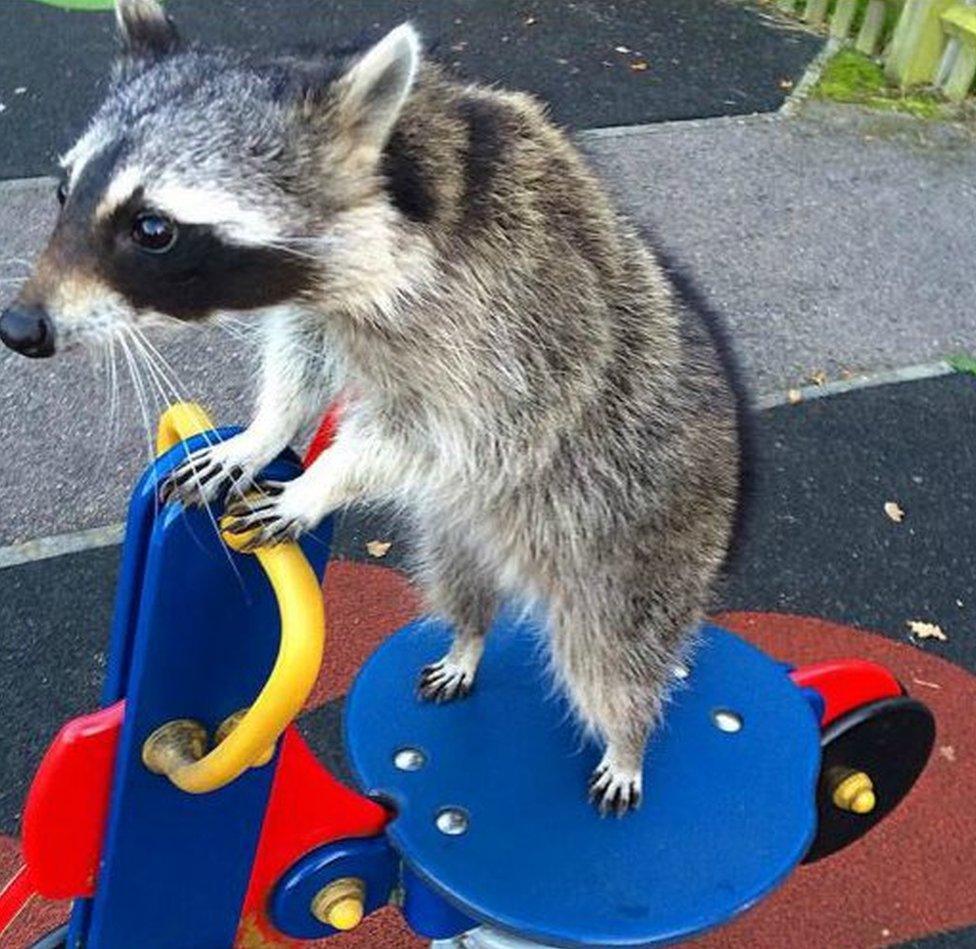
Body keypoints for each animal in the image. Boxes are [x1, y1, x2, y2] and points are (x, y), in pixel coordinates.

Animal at [1, 0, 740, 816]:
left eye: (152, 228)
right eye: (64, 191)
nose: (20, 328)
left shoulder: (507, 336)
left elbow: (445, 436)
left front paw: (321, 481)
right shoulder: (326, 311)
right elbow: (302, 361)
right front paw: (265, 434)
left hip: (639, 547)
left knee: (613, 659)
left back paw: (627, 740)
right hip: (458, 532)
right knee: (460, 586)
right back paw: (468, 640)